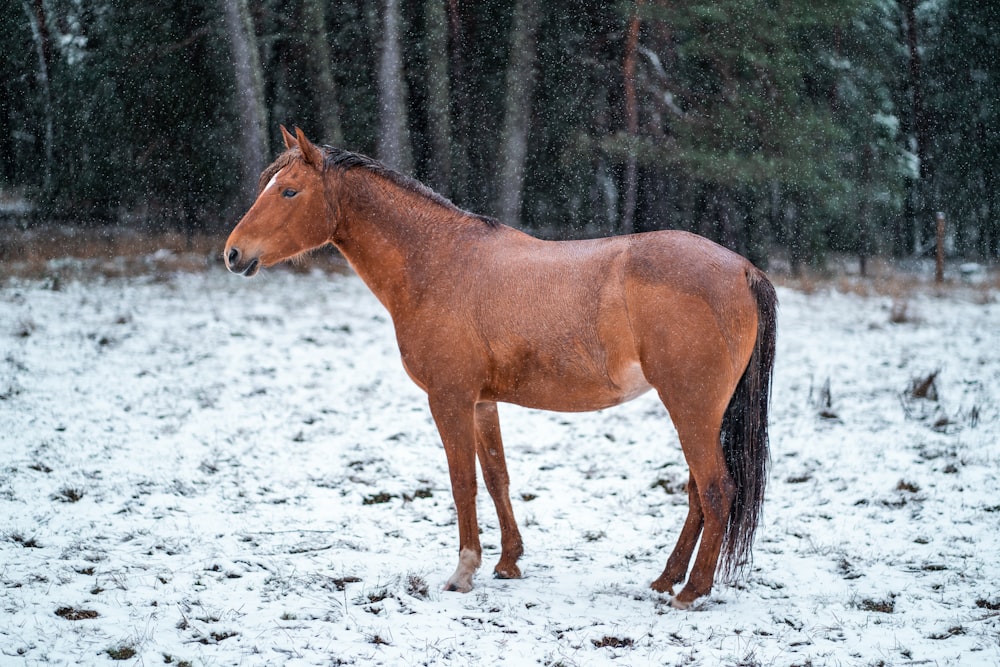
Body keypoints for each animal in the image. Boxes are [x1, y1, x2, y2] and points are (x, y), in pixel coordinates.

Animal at [223, 126, 776, 612]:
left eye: (290, 190)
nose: (233, 253)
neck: (439, 263)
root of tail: (744, 269)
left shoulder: (448, 399)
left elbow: (461, 481)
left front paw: (463, 572)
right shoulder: (482, 401)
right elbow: (496, 477)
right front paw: (509, 562)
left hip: (690, 408)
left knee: (716, 490)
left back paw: (690, 592)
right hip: (697, 412)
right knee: (697, 494)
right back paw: (666, 579)